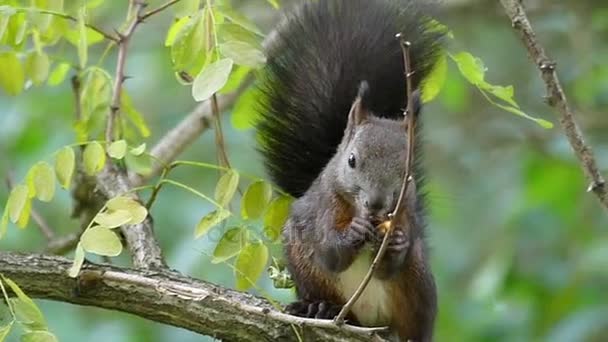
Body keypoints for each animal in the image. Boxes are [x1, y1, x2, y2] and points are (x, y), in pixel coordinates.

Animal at [254, 0, 444, 340]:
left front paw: (395, 243)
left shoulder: (405, 212)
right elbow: (331, 254)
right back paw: (318, 308)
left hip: (418, 282)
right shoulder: (325, 206)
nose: (377, 204)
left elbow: (389, 266)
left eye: (406, 172)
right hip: (303, 263)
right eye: (352, 160)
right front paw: (352, 232)